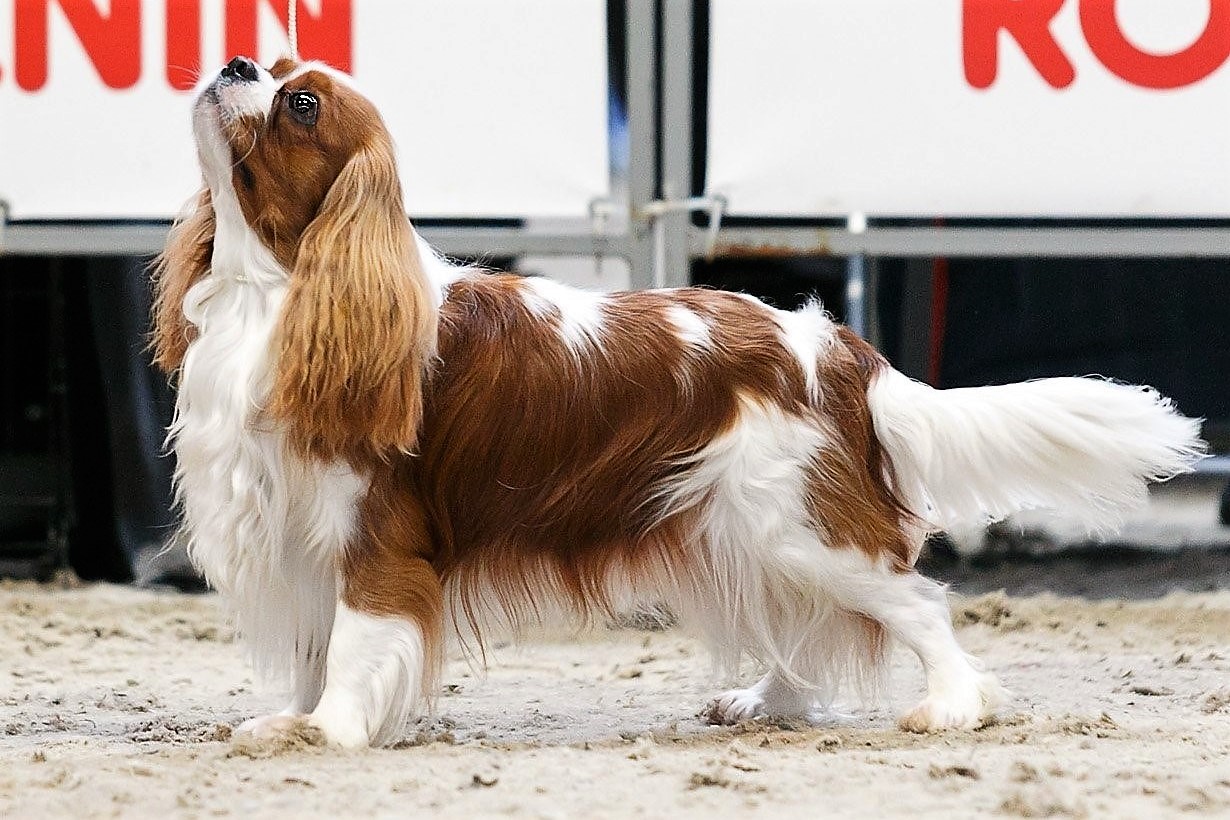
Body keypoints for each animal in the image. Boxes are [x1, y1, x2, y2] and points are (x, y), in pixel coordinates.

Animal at [152, 56, 1204, 747]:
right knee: (811, 623)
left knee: (918, 602)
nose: (236, 59)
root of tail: (845, 352)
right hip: (748, 530)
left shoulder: (373, 534)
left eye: (299, 103)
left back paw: (951, 705)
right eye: (270, 66)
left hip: (797, 524)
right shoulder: (294, 529)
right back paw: (767, 704)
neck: (273, 287)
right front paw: (291, 716)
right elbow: (311, 646)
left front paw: (328, 732)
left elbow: (357, 641)